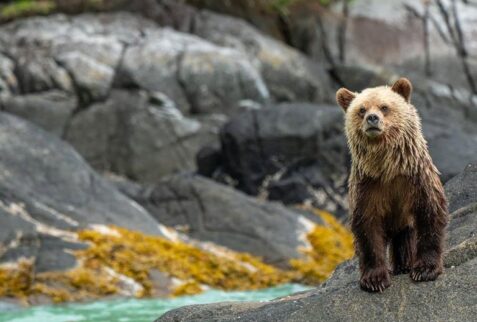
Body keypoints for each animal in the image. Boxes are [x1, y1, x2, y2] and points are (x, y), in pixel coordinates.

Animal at [334, 77, 446, 292]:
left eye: (384, 107)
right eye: (361, 109)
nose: (372, 118)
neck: (387, 167)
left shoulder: (416, 179)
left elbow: (429, 214)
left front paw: (425, 270)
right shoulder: (367, 186)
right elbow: (367, 227)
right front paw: (374, 279)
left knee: (406, 238)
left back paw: (406, 265)